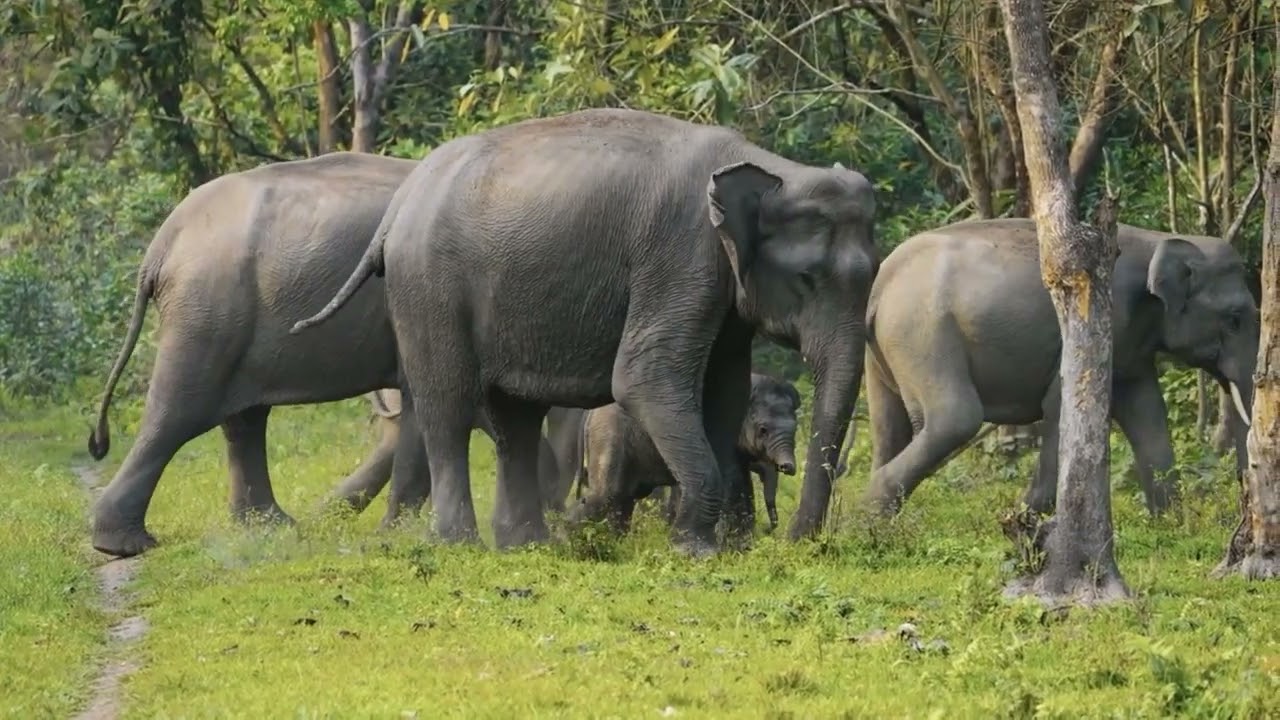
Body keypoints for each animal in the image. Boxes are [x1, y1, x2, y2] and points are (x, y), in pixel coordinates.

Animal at [86, 152, 430, 557]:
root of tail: (161, 244)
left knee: (242, 419)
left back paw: (272, 527)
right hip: (206, 315)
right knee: (178, 413)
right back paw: (126, 545)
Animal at [570, 373, 802, 534]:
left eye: (796, 428)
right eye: (763, 430)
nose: (787, 467)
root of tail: (589, 414)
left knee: (623, 499)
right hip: (610, 437)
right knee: (608, 495)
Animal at [861, 218, 1257, 518]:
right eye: (1235, 318)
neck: (1157, 239)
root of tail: (883, 281)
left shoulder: (1129, 346)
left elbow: (1147, 411)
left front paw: (1170, 521)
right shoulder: (1101, 319)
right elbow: (1060, 403)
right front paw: (1024, 515)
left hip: (887, 347)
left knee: (890, 427)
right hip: (923, 332)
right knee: (953, 419)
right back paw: (870, 514)